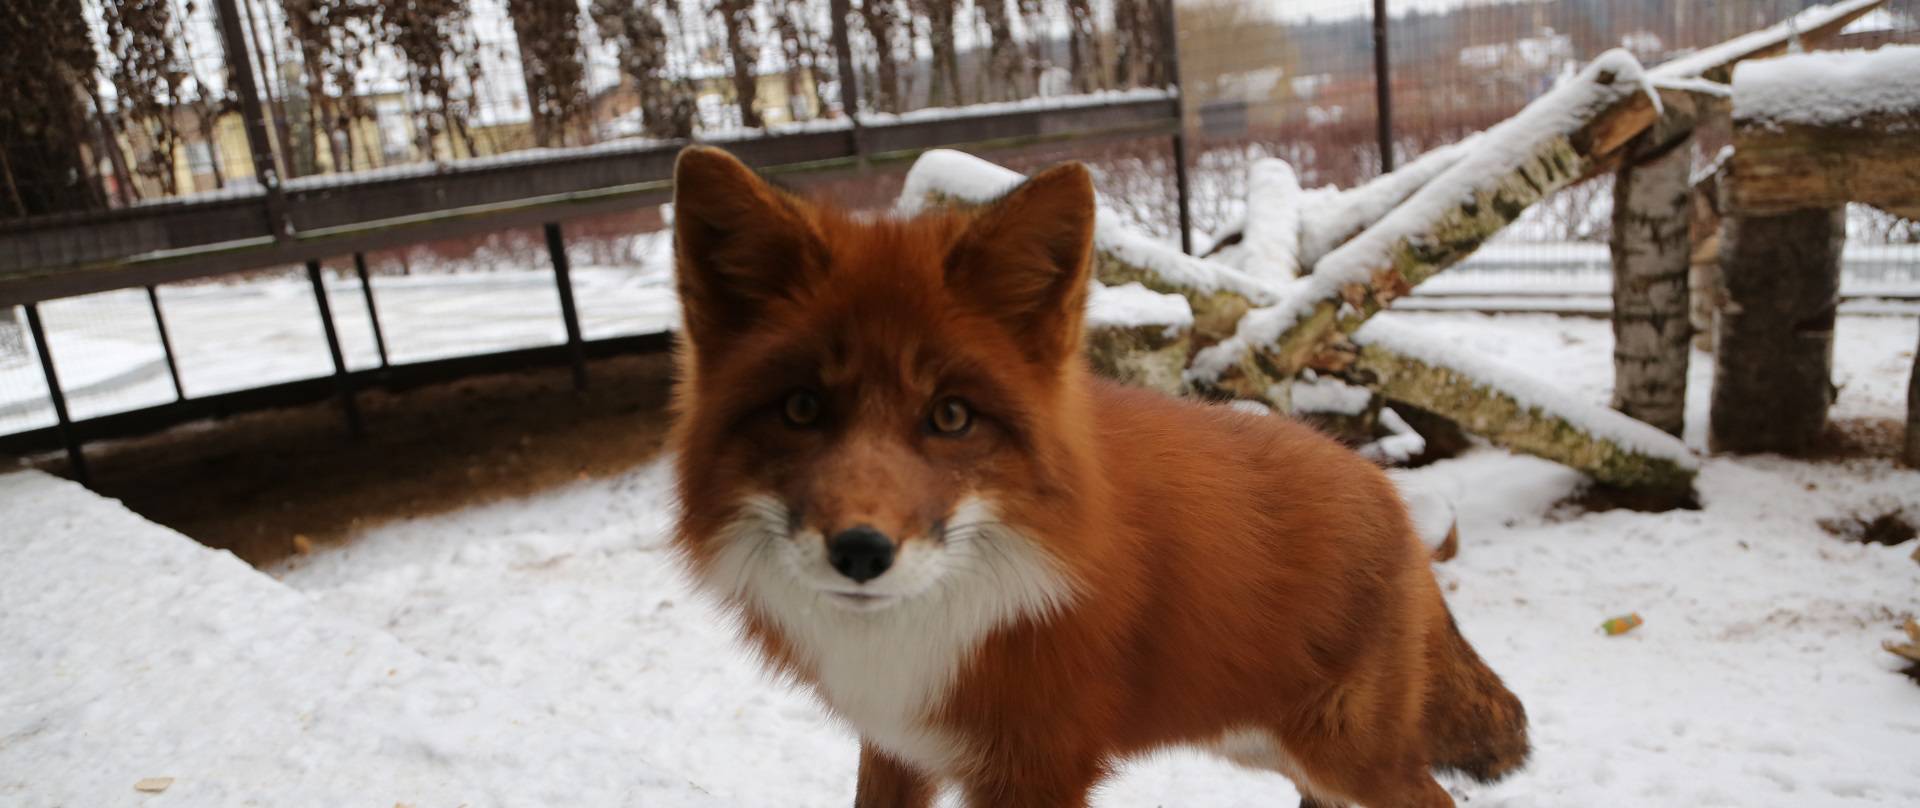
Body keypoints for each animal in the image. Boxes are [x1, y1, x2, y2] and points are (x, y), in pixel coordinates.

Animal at [667, 145, 1529, 808]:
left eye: (951, 416)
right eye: (802, 407)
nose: (861, 551)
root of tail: (1384, 489)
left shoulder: (1037, 768)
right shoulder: (896, 747)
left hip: (1346, 754)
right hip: (1279, 751)